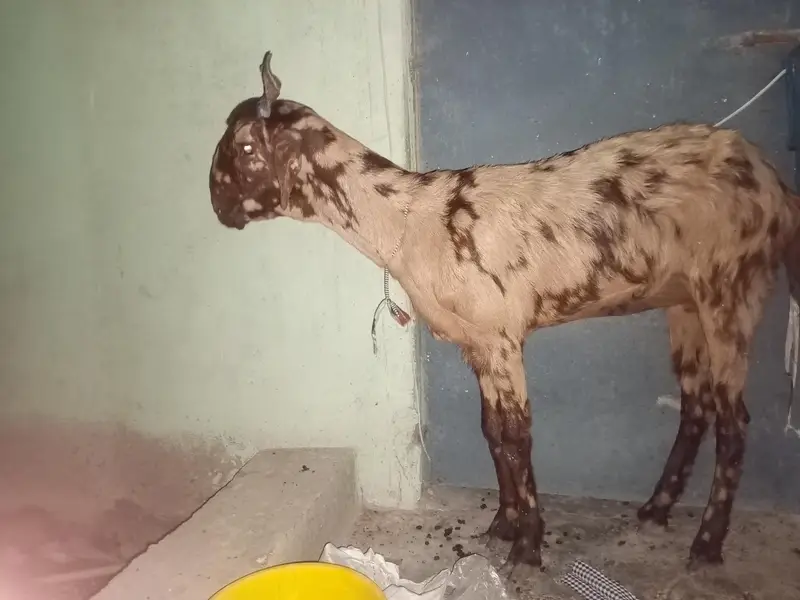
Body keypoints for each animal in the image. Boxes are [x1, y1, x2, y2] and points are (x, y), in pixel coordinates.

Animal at [208, 51, 800, 578]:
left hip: (731, 289)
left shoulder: (502, 335)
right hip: (684, 302)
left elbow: (517, 436)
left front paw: (528, 547)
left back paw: (706, 543)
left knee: (734, 422)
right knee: (697, 404)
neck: (410, 222)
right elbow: (491, 432)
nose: (217, 205)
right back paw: (656, 509)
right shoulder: (477, 343)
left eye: (245, 146)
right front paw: (503, 524)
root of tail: (777, 186)